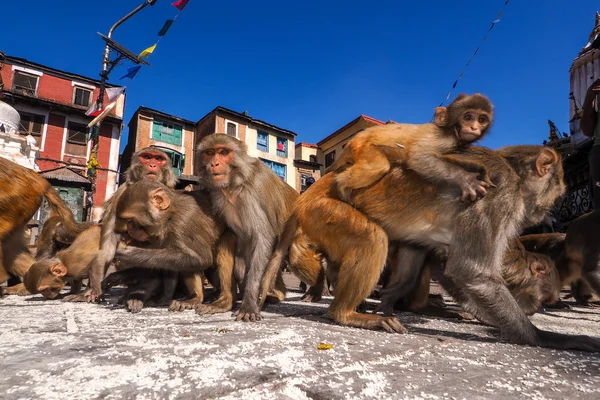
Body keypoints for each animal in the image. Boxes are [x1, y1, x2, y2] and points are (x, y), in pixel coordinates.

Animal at [67, 147, 180, 304]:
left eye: (159, 159)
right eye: (147, 157)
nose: (152, 165)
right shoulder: (122, 191)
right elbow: (109, 240)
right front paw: (93, 289)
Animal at [195, 134, 298, 322]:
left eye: (223, 152)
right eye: (209, 153)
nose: (214, 164)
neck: (234, 186)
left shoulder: (253, 192)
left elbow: (263, 238)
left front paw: (249, 303)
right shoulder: (216, 195)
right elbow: (232, 235)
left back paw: (272, 295)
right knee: (230, 239)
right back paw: (226, 301)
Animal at [264, 145, 600, 352]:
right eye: (557, 188)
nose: (548, 209)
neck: (513, 172)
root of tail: (312, 191)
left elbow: (420, 249)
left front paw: (390, 297)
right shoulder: (500, 195)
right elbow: (469, 271)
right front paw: (540, 336)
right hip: (322, 211)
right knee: (373, 239)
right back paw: (345, 313)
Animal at [330, 93, 494, 203]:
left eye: (481, 119)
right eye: (468, 117)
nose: (474, 127)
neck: (450, 129)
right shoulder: (444, 138)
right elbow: (417, 156)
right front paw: (464, 178)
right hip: (363, 147)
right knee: (379, 167)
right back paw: (341, 185)